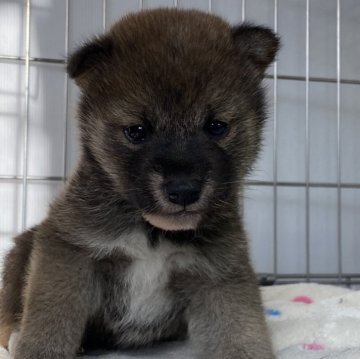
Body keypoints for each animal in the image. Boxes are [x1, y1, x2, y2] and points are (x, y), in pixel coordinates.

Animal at [0, 8, 278, 359]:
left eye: (217, 126)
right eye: (137, 131)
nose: (184, 190)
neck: (152, 234)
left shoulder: (218, 272)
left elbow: (239, 332)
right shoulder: (68, 250)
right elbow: (50, 318)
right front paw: (39, 348)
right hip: (23, 249)